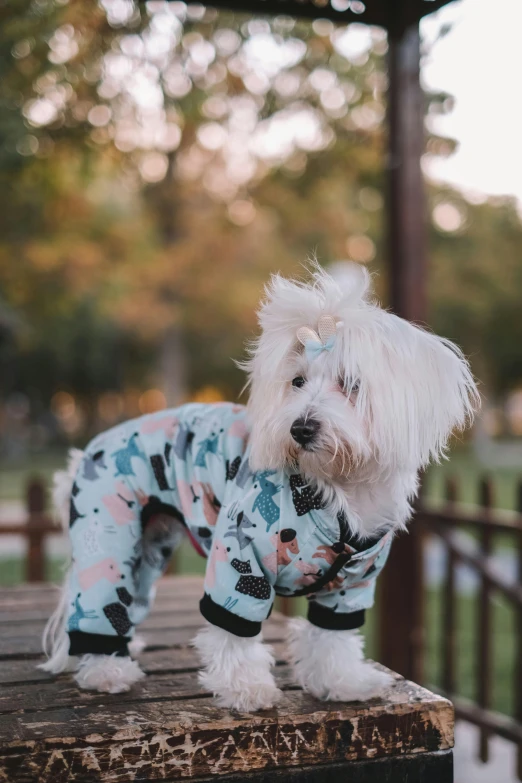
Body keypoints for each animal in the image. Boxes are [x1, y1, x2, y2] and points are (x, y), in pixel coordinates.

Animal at [39, 264, 476, 712]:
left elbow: (333, 638)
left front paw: (343, 681)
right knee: (99, 601)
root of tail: (88, 450)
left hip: (147, 546)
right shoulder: (240, 560)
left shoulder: (353, 585)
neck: (336, 489)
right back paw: (107, 669)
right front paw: (245, 688)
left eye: (351, 384)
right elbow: (234, 632)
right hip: (108, 537)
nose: (300, 428)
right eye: (297, 382)